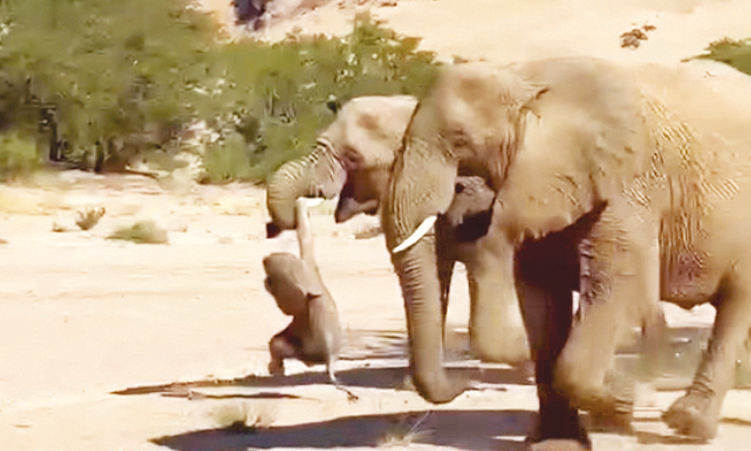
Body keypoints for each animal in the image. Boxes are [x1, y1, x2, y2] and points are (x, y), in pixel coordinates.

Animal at [382, 57, 751, 446]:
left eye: (460, 140)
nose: (463, 382)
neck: (524, 79)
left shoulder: (626, 188)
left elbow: (617, 287)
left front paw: (625, 399)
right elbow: (541, 302)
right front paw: (559, 442)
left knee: (737, 304)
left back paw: (687, 424)